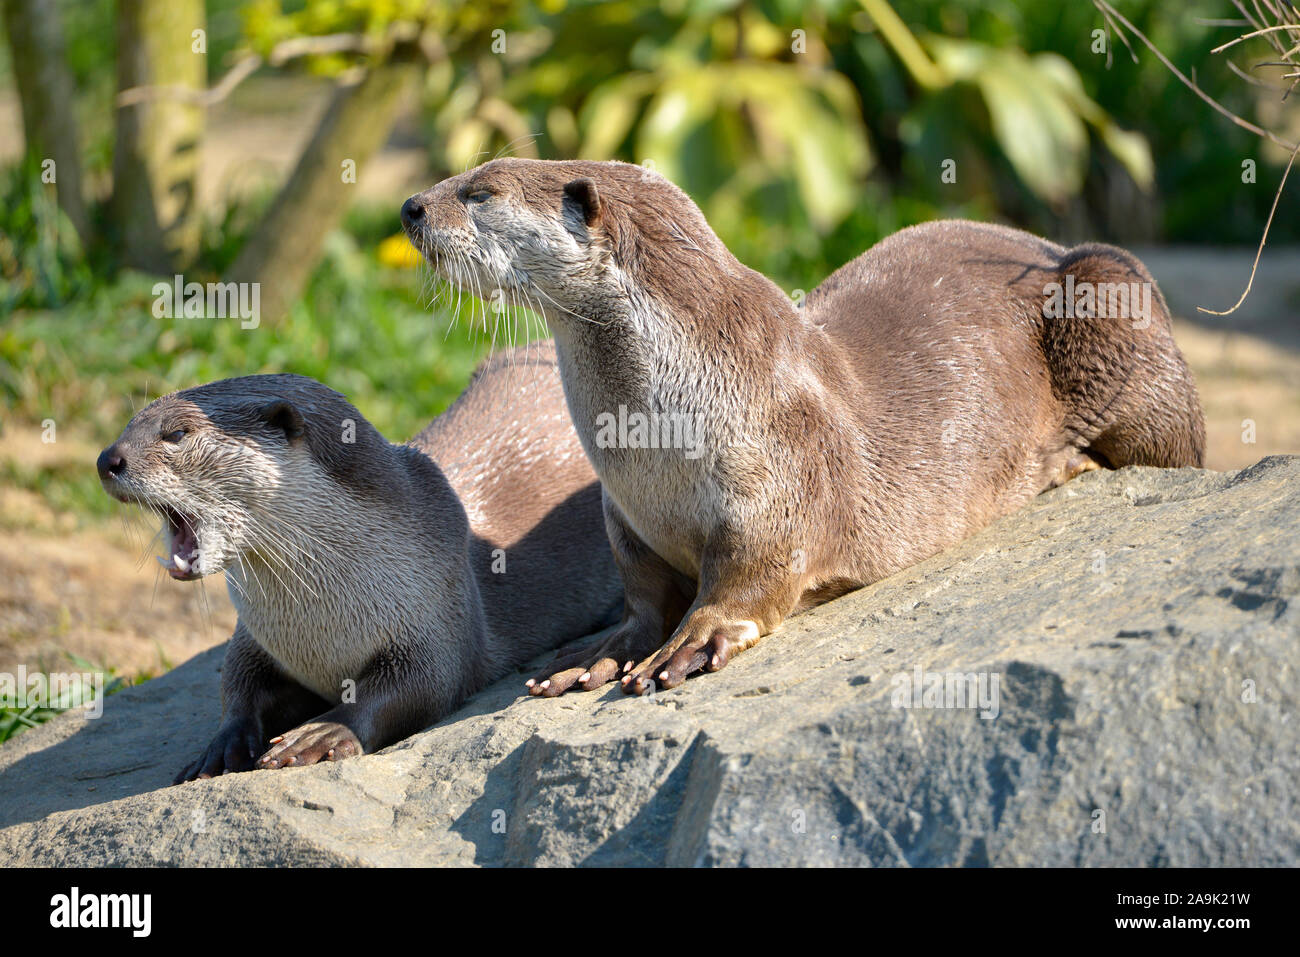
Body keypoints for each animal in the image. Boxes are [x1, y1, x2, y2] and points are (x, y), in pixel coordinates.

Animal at [94, 343, 618, 780]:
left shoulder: (439, 613)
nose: (106, 460)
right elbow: (238, 682)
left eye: (176, 433)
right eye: (128, 425)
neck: (318, 631)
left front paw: (323, 733)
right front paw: (223, 745)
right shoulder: (256, 638)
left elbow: (420, 686)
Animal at [400, 157, 1201, 696]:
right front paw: (601, 652)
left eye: (479, 193)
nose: (409, 206)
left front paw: (694, 641)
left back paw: (1071, 463)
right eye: (466, 176)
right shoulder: (623, 514)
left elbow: (753, 569)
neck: (652, 447)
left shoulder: (777, 471)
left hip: (1110, 291)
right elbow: (641, 589)